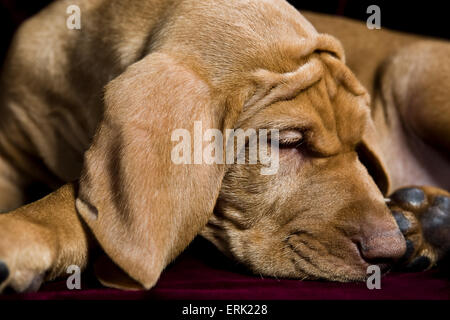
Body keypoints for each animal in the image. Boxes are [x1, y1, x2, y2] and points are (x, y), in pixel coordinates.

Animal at [0, 0, 448, 292]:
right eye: (288, 142)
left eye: (359, 143)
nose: (390, 251)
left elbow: (73, 194)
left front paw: (23, 231)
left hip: (415, 76)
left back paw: (424, 218)